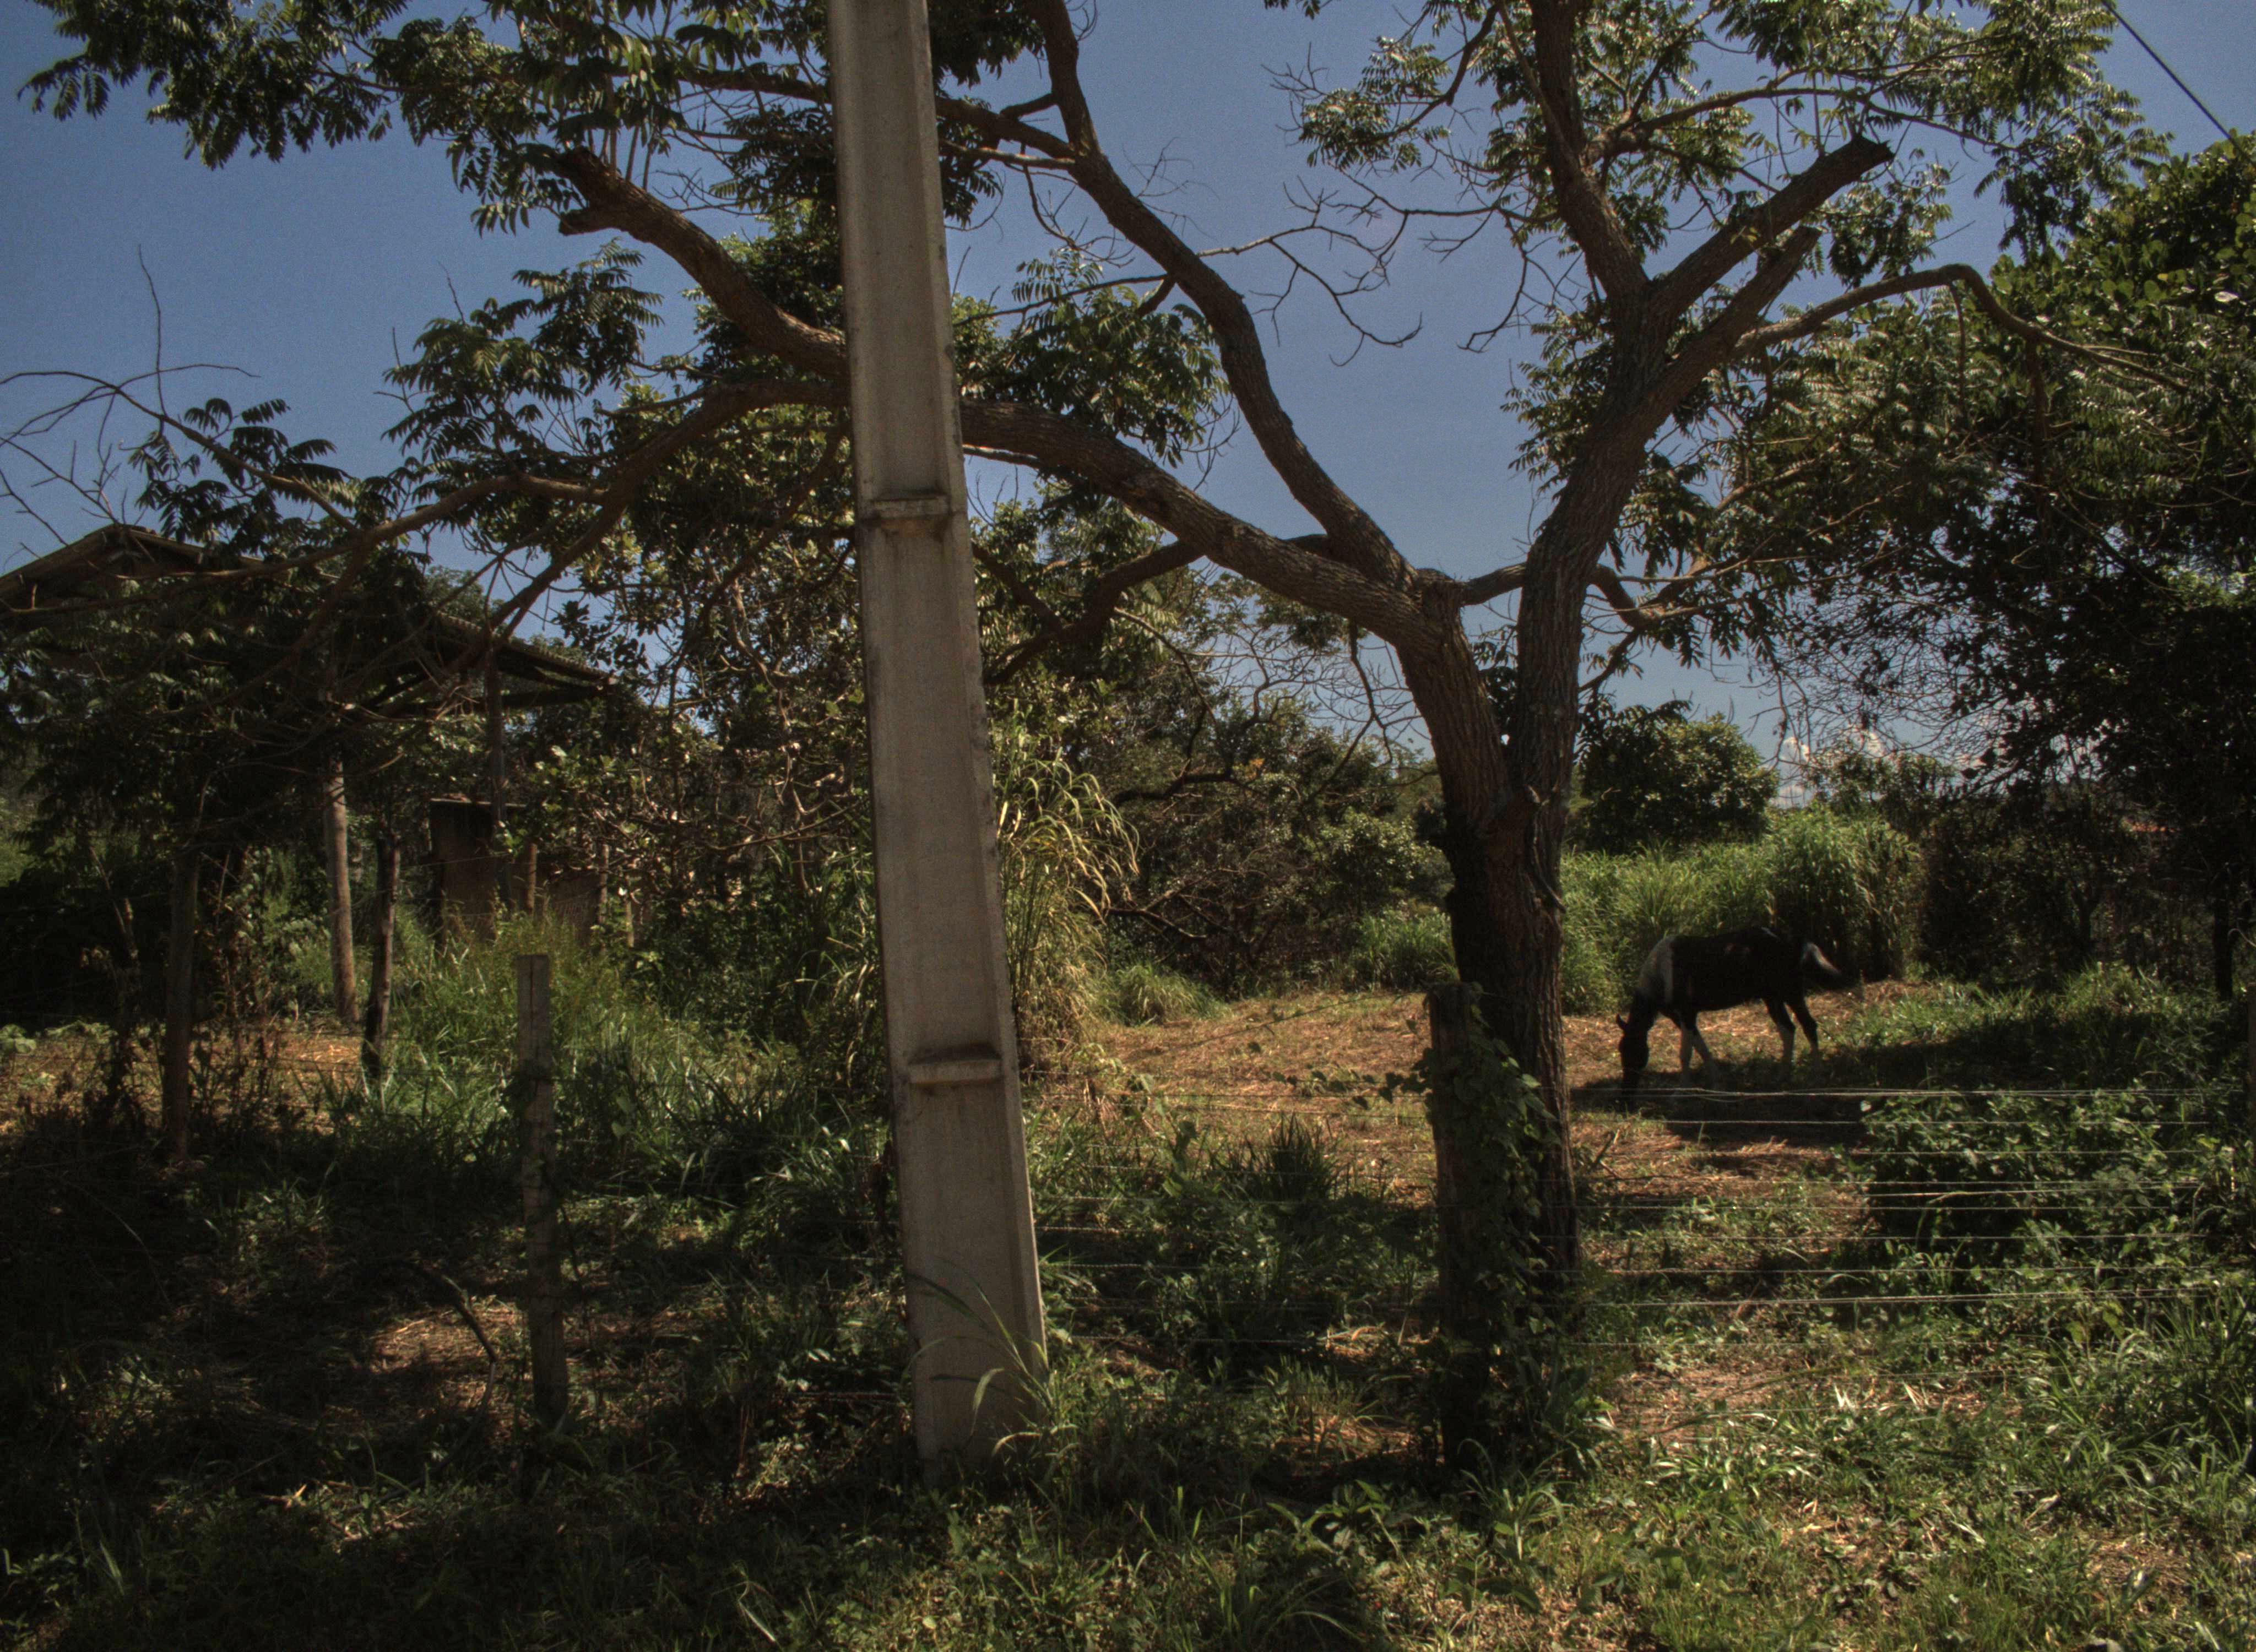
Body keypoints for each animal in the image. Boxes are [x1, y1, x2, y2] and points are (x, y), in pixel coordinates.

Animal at [1616, 926, 1847, 1093]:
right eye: (1621, 1051)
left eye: (1635, 1052)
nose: (1626, 1094)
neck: (1662, 974)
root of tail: (1795, 941)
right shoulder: (1680, 1018)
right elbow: (1701, 1048)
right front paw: (1717, 1081)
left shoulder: (1688, 1014)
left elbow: (1686, 1054)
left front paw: (1682, 1092)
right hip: (1772, 998)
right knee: (1788, 1030)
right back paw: (1782, 1076)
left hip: (1791, 993)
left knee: (1808, 1026)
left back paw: (1817, 1076)